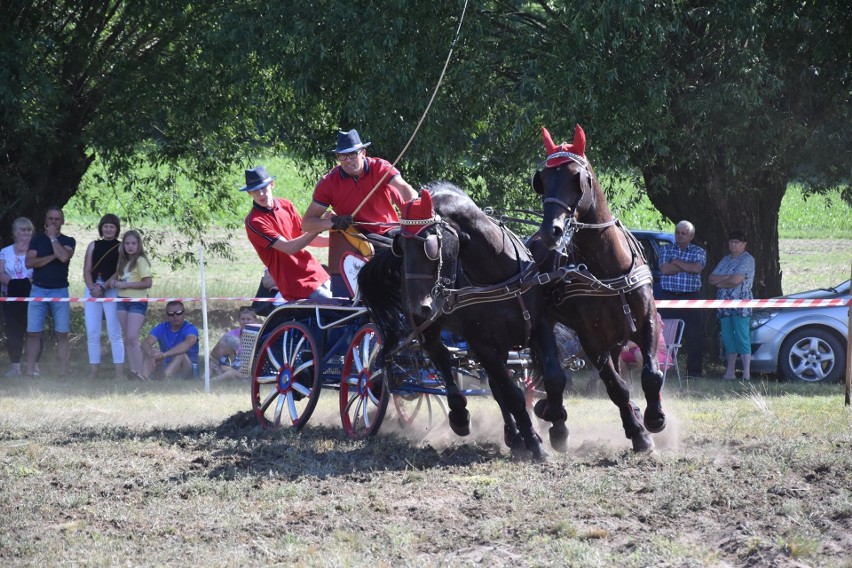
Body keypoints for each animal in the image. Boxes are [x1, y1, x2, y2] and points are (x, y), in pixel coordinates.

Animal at [360, 184, 564, 460]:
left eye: (430, 245)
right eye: (400, 245)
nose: (418, 308)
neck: (497, 274)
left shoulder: (539, 326)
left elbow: (553, 377)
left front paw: (557, 427)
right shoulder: (482, 344)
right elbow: (512, 394)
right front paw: (535, 442)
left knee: (494, 385)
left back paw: (513, 435)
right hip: (432, 330)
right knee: (442, 359)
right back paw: (460, 414)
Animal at [532, 125, 664, 452]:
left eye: (576, 178)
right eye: (543, 180)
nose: (551, 231)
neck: (608, 267)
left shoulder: (647, 321)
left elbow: (650, 374)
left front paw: (654, 419)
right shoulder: (590, 338)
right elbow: (616, 387)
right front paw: (639, 434)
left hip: (615, 337)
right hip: (544, 324)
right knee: (554, 377)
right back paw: (555, 421)